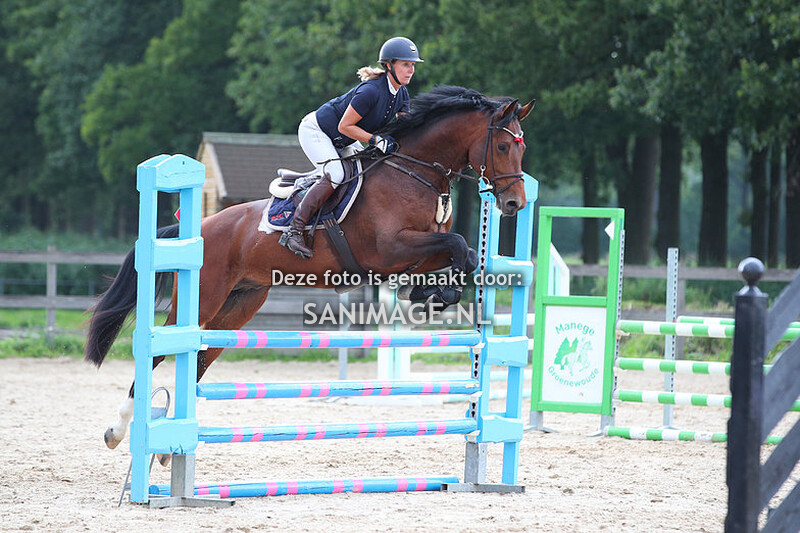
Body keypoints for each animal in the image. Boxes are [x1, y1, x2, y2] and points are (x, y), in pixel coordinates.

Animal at [85, 85, 534, 451]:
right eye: (501, 147)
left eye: (522, 148)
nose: (514, 203)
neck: (414, 171)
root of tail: (200, 227)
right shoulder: (389, 250)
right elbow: (456, 245)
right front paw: (434, 294)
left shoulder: (419, 250)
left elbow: (465, 255)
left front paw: (431, 293)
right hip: (202, 300)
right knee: (161, 355)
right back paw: (119, 431)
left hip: (240, 303)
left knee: (198, 360)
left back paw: (168, 449)